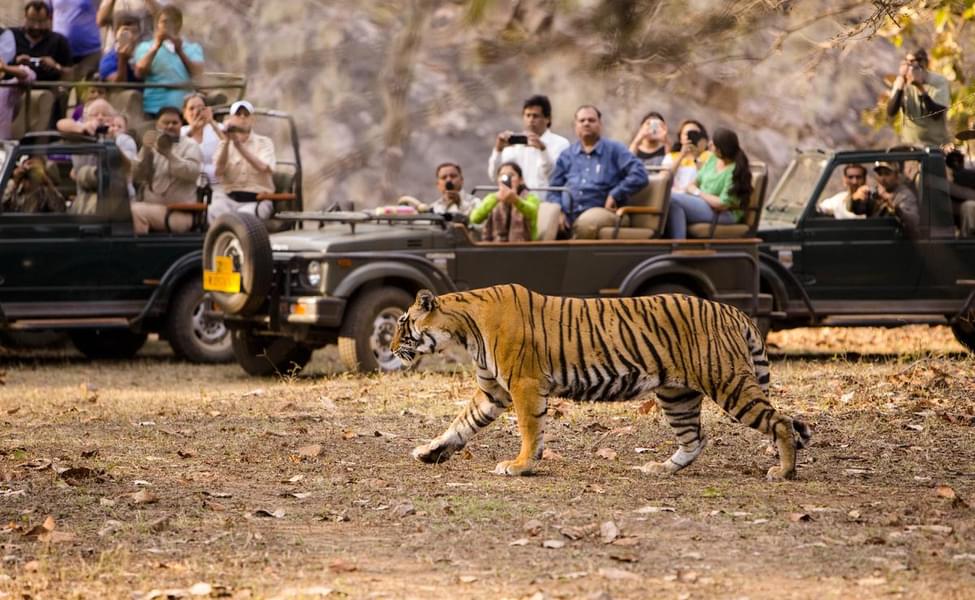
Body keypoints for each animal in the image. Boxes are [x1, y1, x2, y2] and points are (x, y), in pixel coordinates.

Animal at [388, 284, 808, 480]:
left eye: (403, 324)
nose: (390, 349)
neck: (464, 328)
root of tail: (734, 311)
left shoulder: (523, 384)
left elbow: (529, 430)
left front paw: (520, 466)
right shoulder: (493, 391)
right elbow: (460, 424)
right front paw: (429, 451)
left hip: (728, 382)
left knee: (780, 422)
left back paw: (784, 472)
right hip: (678, 395)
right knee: (695, 438)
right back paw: (661, 469)